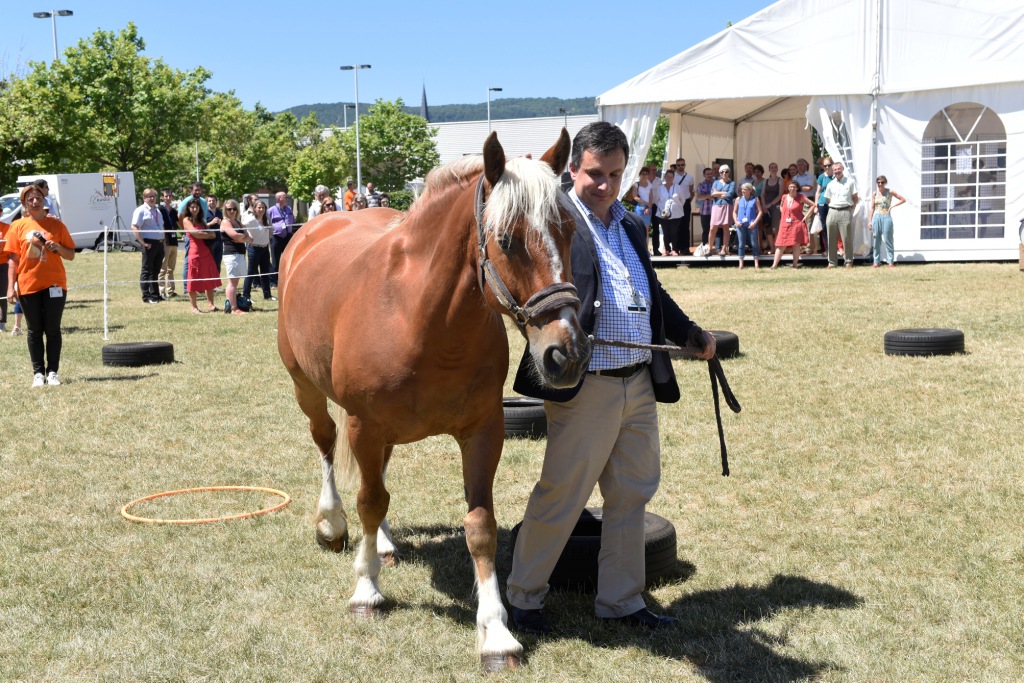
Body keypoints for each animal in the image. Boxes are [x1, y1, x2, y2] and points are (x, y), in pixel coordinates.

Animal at [276, 131, 589, 671]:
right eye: (507, 239)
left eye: (568, 230)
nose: (565, 353)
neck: (419, 315)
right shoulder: (364, 423)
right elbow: (368, 500)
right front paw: (366, 591)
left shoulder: (482, 431)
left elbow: (479, 525)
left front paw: (497, 634)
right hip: (308, 390)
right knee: (329, 450)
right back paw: (333, 526)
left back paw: (380, 545)